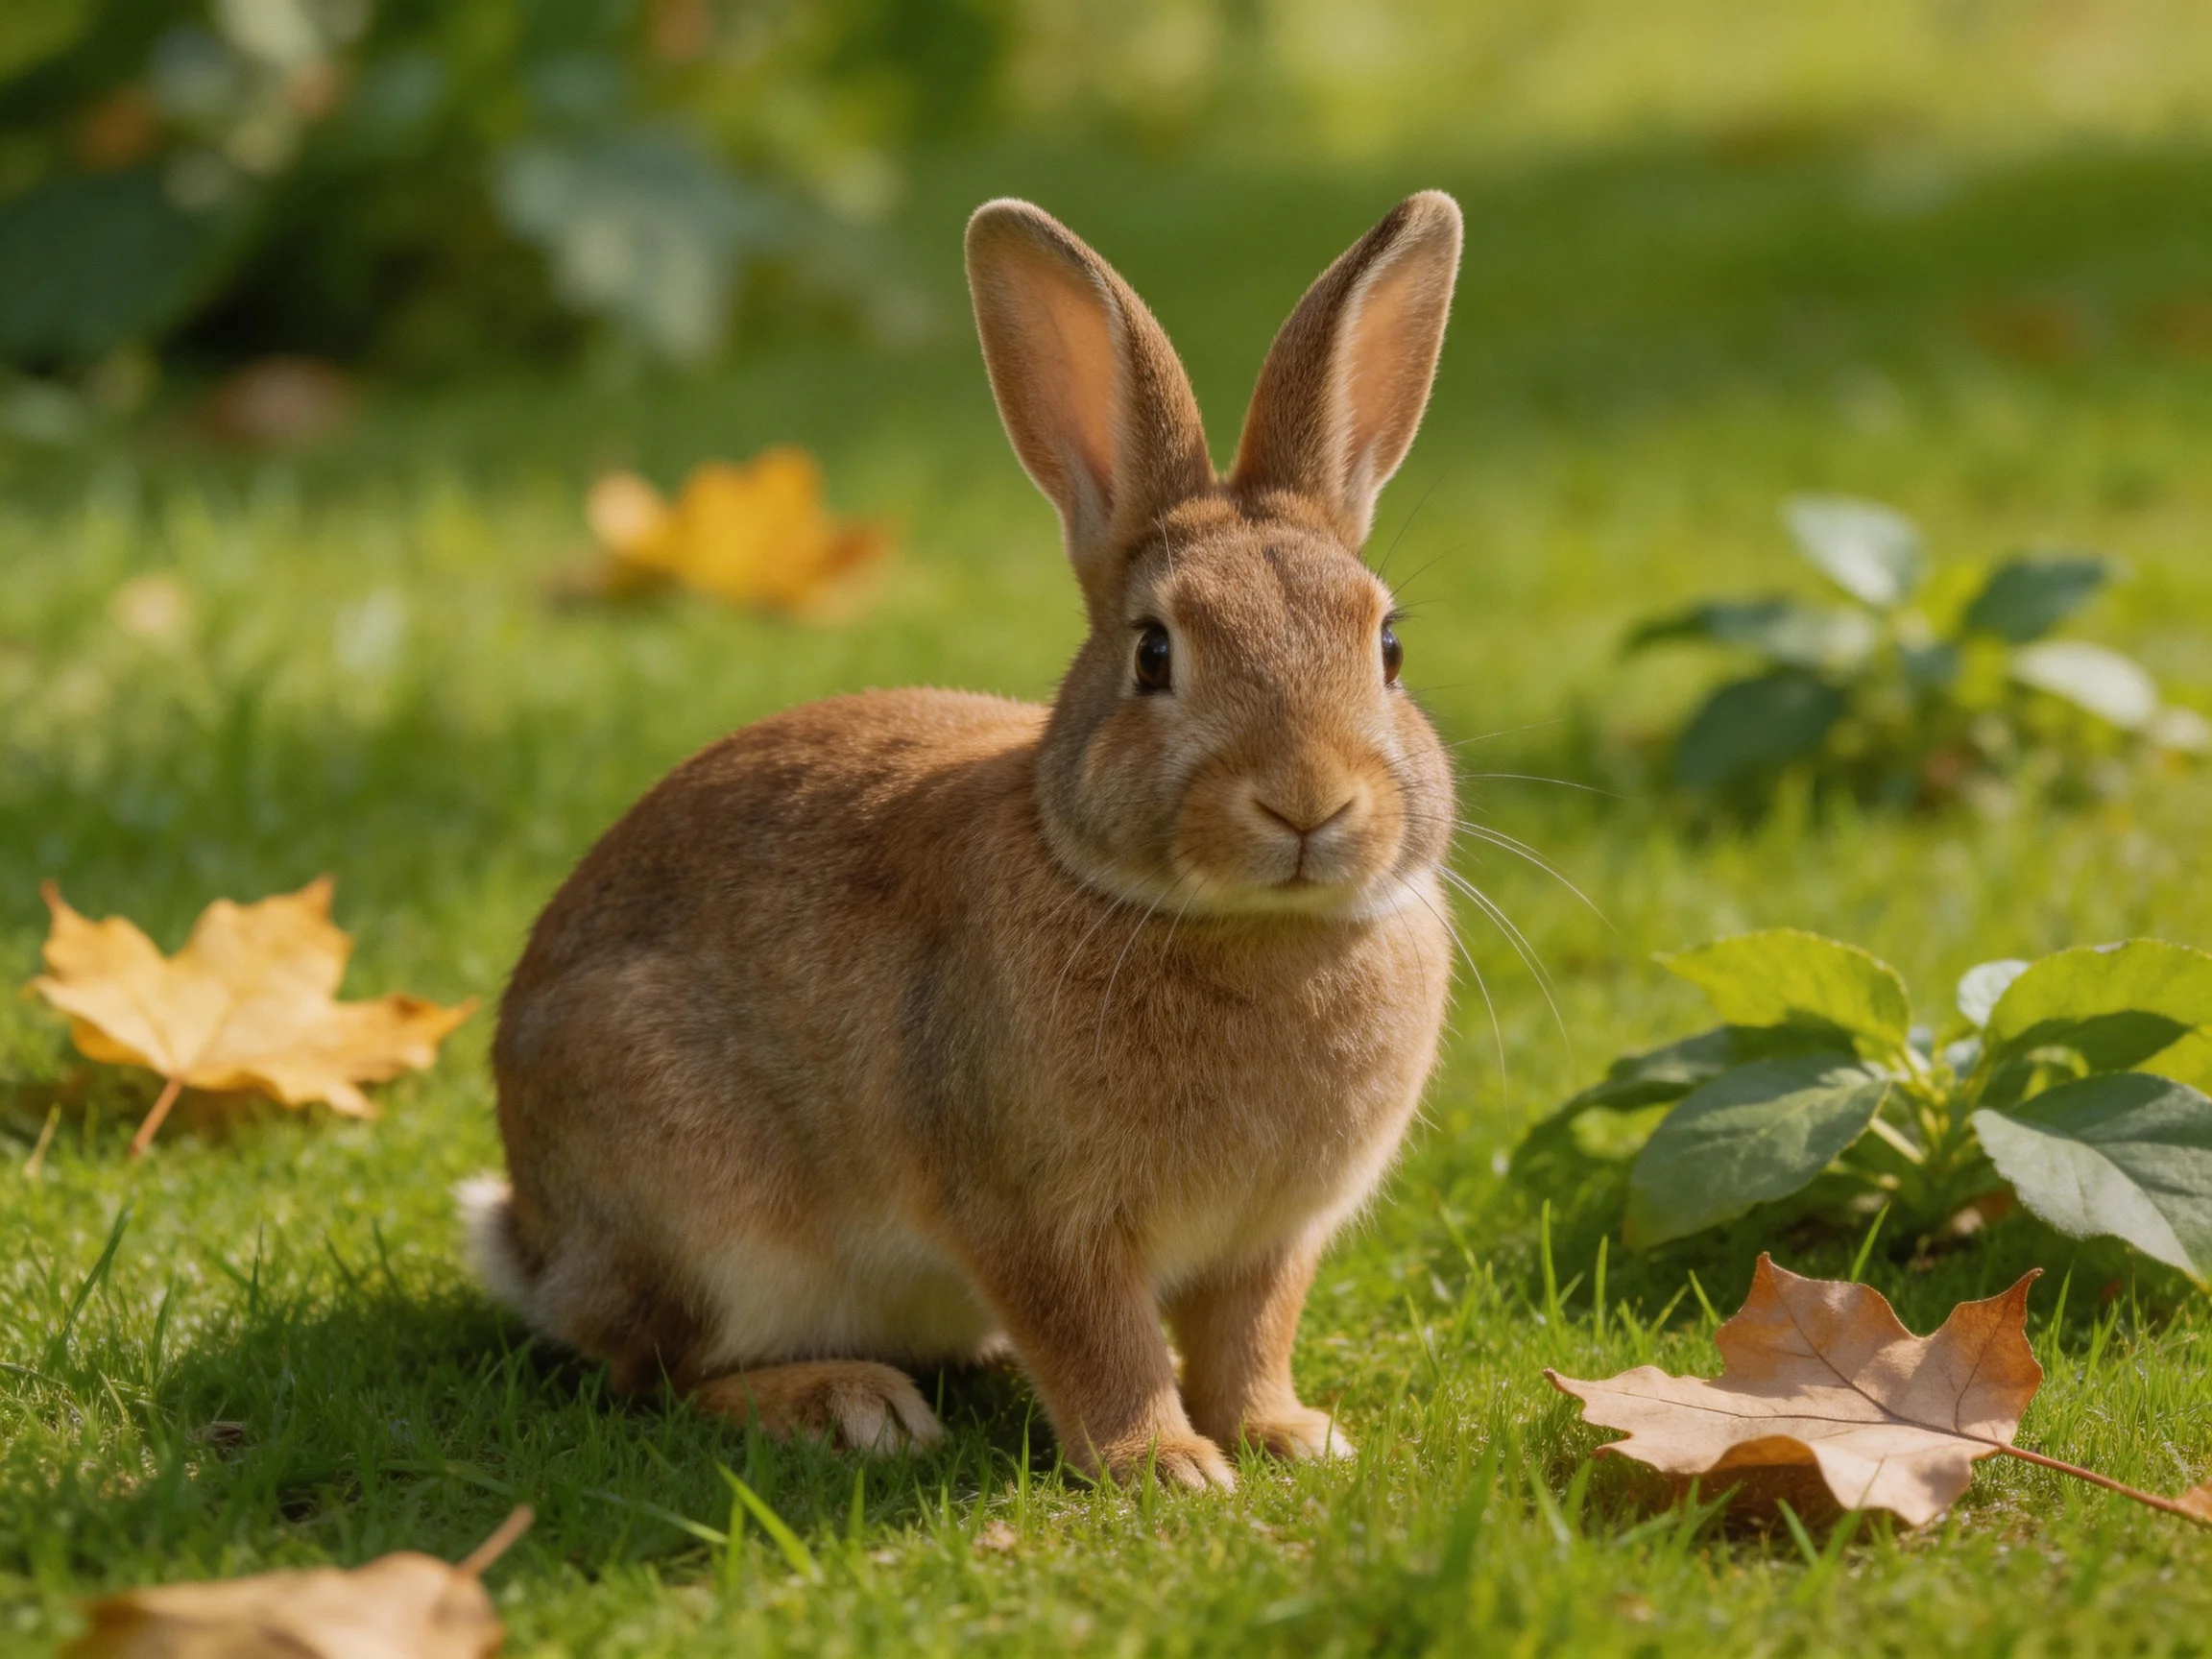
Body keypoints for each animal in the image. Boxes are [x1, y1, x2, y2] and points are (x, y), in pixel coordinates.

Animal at [462, 189, 1464, 1489]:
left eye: (1387, 646)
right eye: (1155, 653)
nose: (1308, 802)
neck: (1250, 929)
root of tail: (534, 1240)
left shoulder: (1273, 1238)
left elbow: (1251, 1334)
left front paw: (1289, 1436)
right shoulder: (1035, 1215)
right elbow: (1097, 1339)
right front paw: (1165, 1465)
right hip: (698, 1210)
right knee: (660, 1373)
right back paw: (848, 1406)